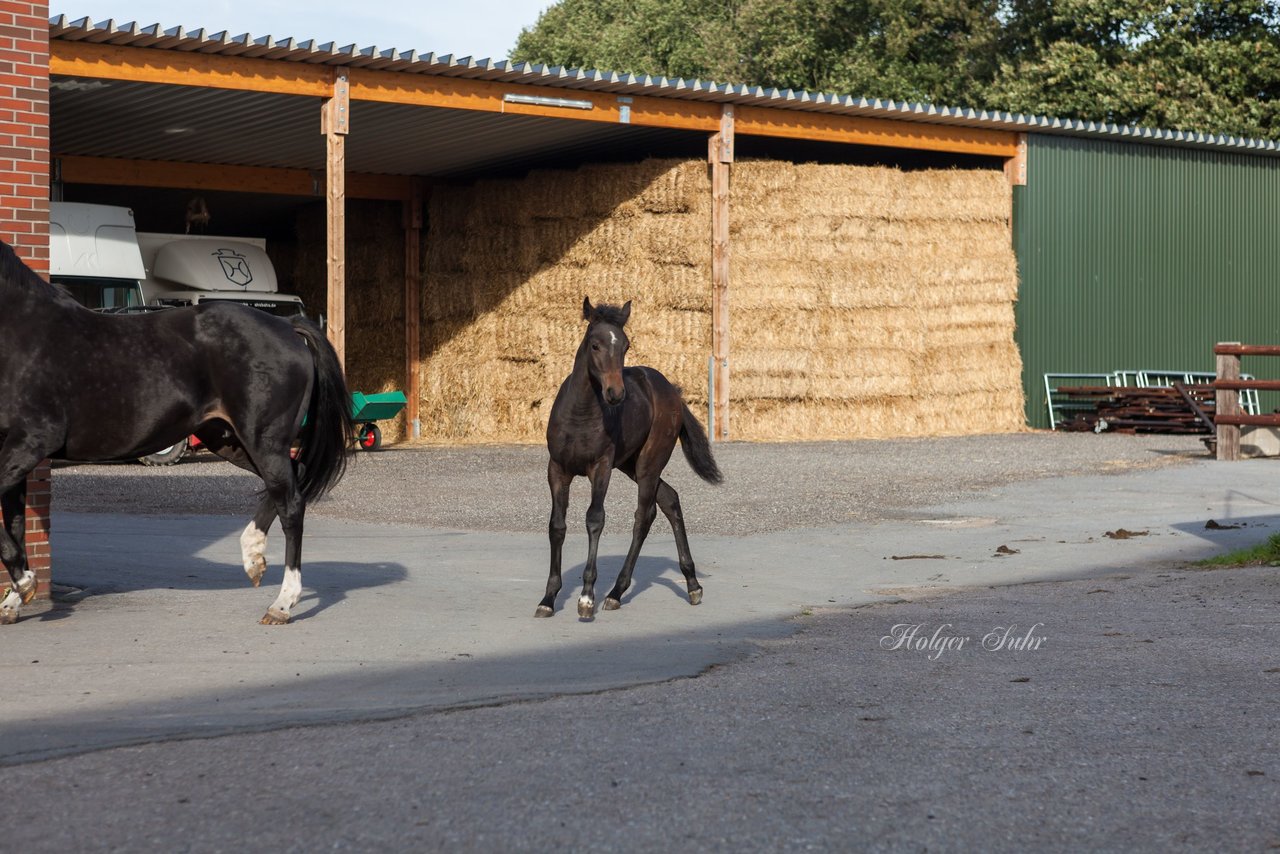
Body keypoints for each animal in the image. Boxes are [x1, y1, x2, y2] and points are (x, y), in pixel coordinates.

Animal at [537, 297, 721, 617]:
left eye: (625, 345)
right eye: (595, 345)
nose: (615, 393)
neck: (580, 415)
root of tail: (672, 390)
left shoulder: (601, 467)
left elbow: (595, 519)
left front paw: (586, 598)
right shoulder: (557, 469)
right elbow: (556, 525)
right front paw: (548, 598)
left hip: (648, 462)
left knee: (644, 515)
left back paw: (616, 592)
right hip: (630, 464)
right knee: (670, 499)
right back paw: (692, 584)